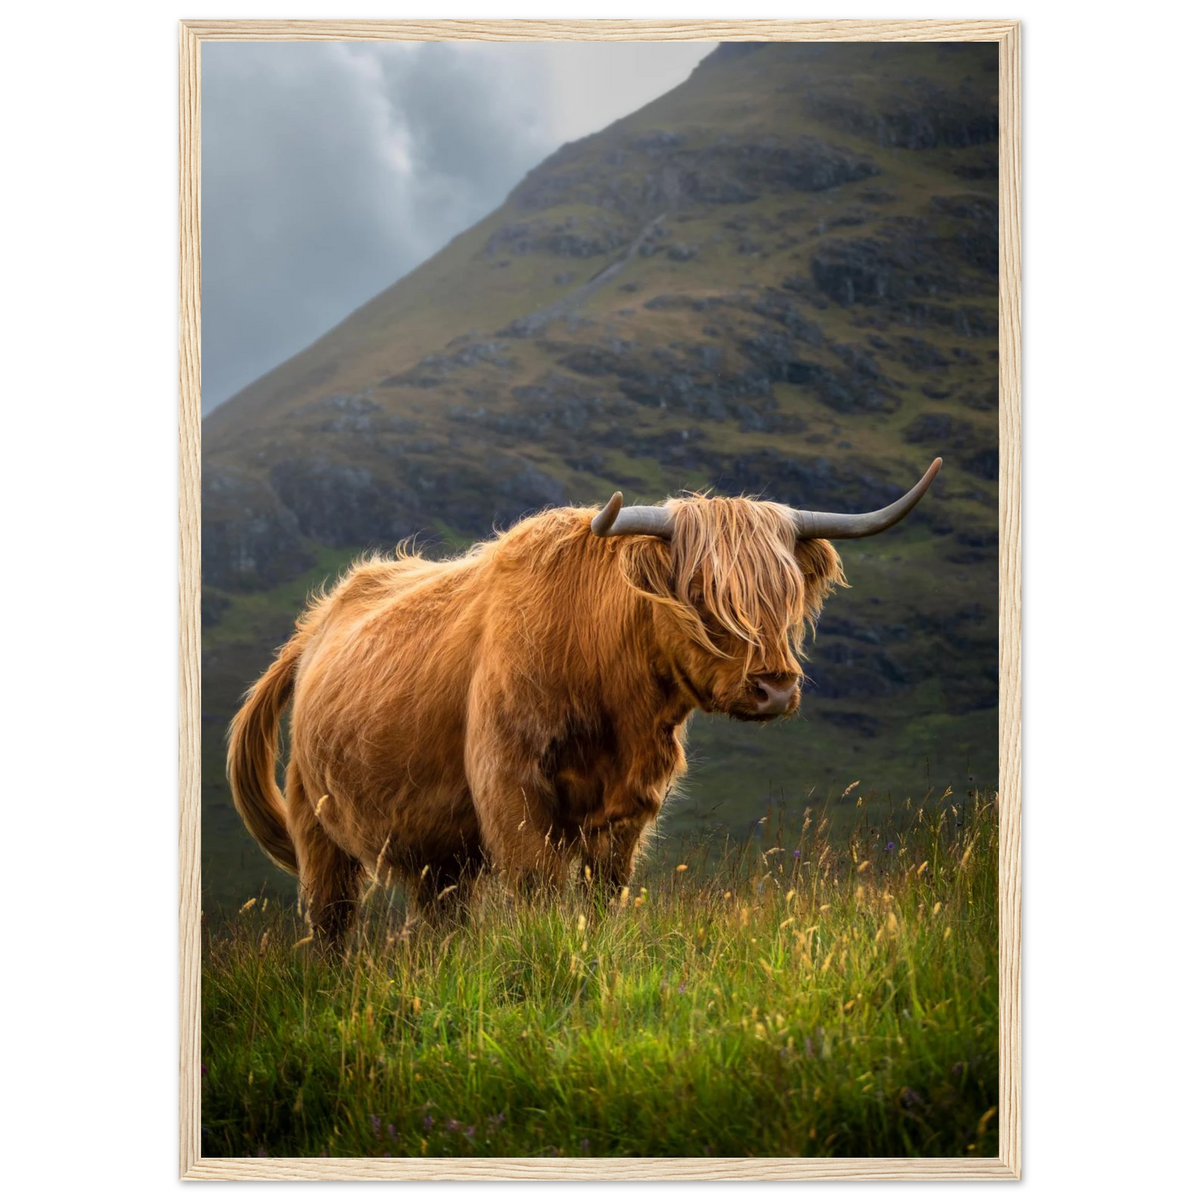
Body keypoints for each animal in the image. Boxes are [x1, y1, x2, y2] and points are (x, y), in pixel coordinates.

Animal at [228, 459, 942, 948]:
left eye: (788, 592)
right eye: (700, 592)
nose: (776, 688)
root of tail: (316, 625)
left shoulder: (629, 804)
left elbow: (603, 893)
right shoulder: (511, 789)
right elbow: (538, 887)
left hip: (433, 847)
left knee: (441, 917)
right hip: (317, 824)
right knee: (331, 922)